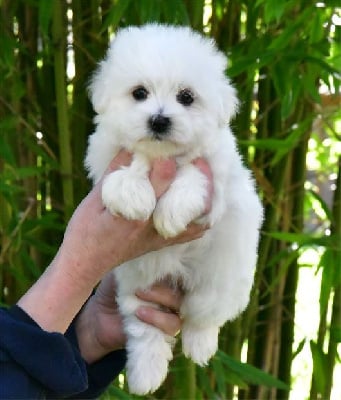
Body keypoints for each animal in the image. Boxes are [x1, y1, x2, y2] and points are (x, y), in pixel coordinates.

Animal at [84, 23, 260, 396]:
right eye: (139, 93)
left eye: (187, 97)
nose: (159, 120)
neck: (163, 155)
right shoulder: (107, 156)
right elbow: (130, 166)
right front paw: (134, 192)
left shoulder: (220, 175)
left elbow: (195, 173)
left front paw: (171, 213)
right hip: (139, 285)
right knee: (144, 328)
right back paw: (145, 375)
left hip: (221, 280)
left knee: (203, 316)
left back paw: (200, 347)